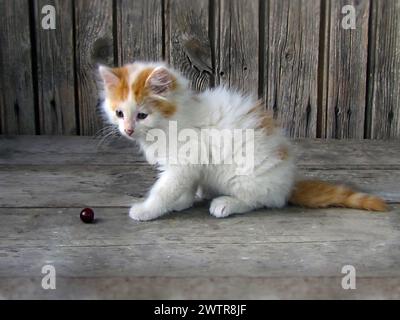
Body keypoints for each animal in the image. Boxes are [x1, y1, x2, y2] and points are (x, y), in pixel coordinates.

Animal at [97, 60, 388, 220]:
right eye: (119, 113)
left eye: (142, 115)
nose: (128, 130)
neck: (176, 119)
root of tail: (288, 182)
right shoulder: (191, 167)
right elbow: (185, 187)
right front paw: (182, 201)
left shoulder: (185, 161)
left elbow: (163, 190)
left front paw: (146, 210)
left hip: (244, 176)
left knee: (263, 200)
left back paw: (226, 203)